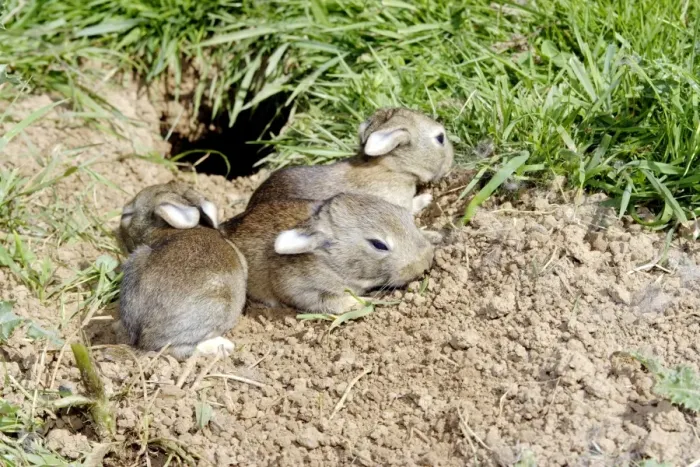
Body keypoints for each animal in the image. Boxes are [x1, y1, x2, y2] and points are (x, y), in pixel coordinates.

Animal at [221, 193, 439, 315]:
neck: (332, 262)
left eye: (404, 216)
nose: (425, 261)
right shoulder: (301, 289)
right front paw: (364, 302)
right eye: (378, 244)